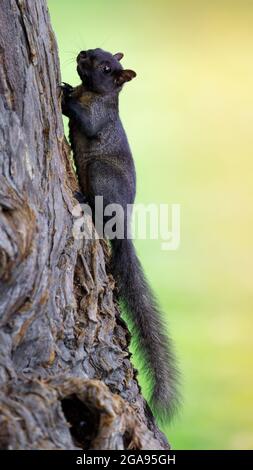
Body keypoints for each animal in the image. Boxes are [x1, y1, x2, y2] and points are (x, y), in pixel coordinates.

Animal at [60, 48, 180, 418]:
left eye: (105, 67)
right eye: (96, 51)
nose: (82, 53)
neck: (93, 93)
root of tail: (122, 225)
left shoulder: (99, 119)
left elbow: (85, 122)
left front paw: (64, 97)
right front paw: (67, 87)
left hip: (100, 172)